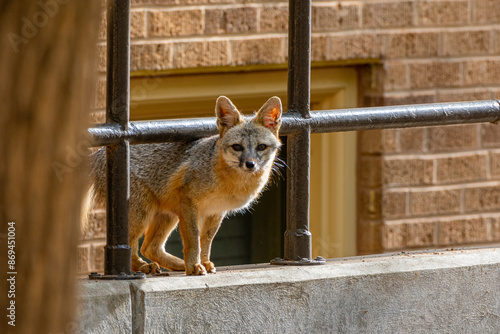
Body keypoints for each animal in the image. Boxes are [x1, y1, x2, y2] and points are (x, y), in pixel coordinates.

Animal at [84, 95, 284, 276]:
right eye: (237, 147)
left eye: (261, 147)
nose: (250, 164)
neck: (231, 183)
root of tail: (99, 153)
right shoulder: (189, 203)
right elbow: (193, 240)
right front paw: (194, 266)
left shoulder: (216, 211)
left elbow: (206, 240)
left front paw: (203, 262)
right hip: (143, 213)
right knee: (132, 246)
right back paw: (142, 267)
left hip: (167, 215)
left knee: (150, 248)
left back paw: (175, 264)